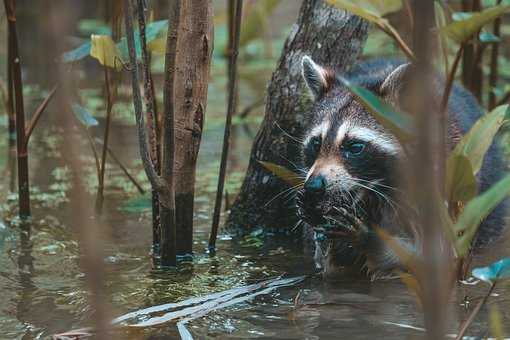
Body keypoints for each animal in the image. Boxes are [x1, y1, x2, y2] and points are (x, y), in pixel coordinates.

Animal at [296, 55, 508, 278]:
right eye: (316, 143)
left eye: (354, 147)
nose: (314, 185)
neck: (373, 192)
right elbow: (331, 266)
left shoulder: (438, 187)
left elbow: (431, 259)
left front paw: (369, 239)